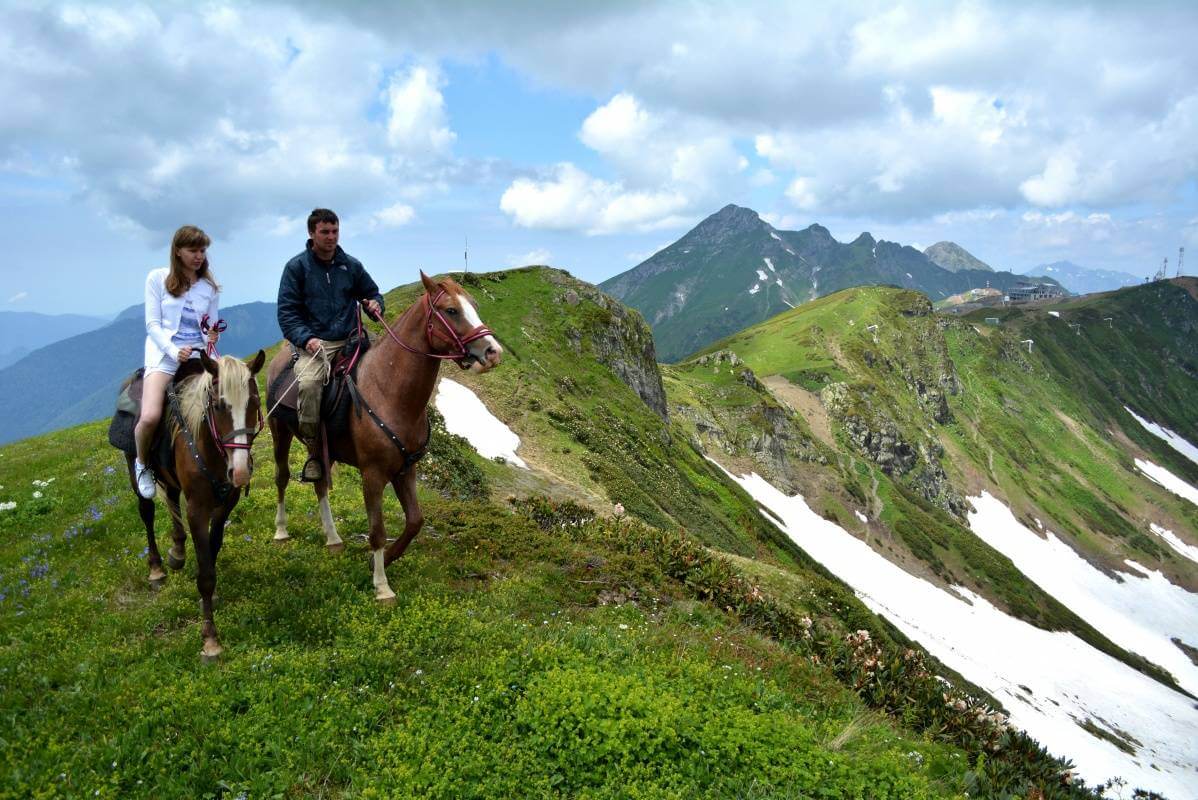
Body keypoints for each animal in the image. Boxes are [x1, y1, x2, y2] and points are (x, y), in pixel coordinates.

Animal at [126, 352, 267, 661]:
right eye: (219, 406)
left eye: (254, 403)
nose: (240, 472)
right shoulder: (197, 511)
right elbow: (205, 575)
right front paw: (210, 640)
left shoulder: (225, 505)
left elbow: (211, 554)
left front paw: (208, 600)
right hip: (134, 467)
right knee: (147, 514)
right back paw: (156, 569)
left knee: (171, 502)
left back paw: (177, 553)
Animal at [267, 271, 500, 603]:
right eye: (452, 310)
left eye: (475, 305)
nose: (493, 352)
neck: (389, 390)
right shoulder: (373, 474)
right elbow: (377, 530)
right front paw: (381, 585)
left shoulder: (406, 469)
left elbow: (415, 521)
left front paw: (384, 559)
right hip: (280, 432)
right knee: (282, 477)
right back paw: (281, 531)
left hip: (320, 448)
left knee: (320, 484)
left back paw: (333, 538)